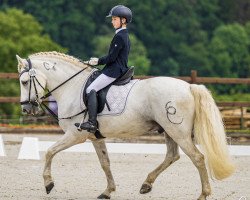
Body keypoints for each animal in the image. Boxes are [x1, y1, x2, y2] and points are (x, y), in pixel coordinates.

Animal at [16, 52, 235, 200]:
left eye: (25, 81)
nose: (27, 108)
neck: (72, 86)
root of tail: (189, 86)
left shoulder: (75, 135)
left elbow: (49, 152)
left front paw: (48, 183)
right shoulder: (95, 137)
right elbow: (105, 163)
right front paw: (107, 191)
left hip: (178, 132)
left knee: (197, 158)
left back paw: (203, 194)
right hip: (170, 131)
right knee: (172, 156)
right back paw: (146, 184)